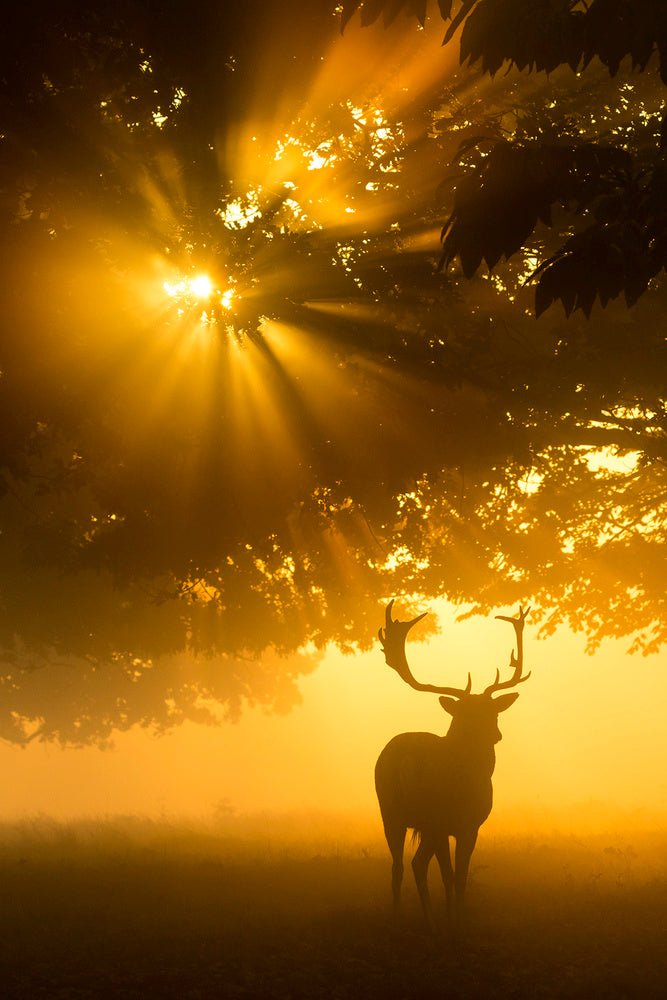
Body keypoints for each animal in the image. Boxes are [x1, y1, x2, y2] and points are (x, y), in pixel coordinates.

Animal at [375, 600, 530, 933]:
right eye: (467, 714)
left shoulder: (447, 827)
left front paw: (450, 918)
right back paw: (433, 922)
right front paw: (457, 923)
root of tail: (405, 759)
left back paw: (400, 919)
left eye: (494, 711)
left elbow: (446, 875)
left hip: (390, 810)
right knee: (419, 864)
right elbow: (458, 877)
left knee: (399, 866)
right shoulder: (468, 824)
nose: (495, 735)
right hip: (433, 815)